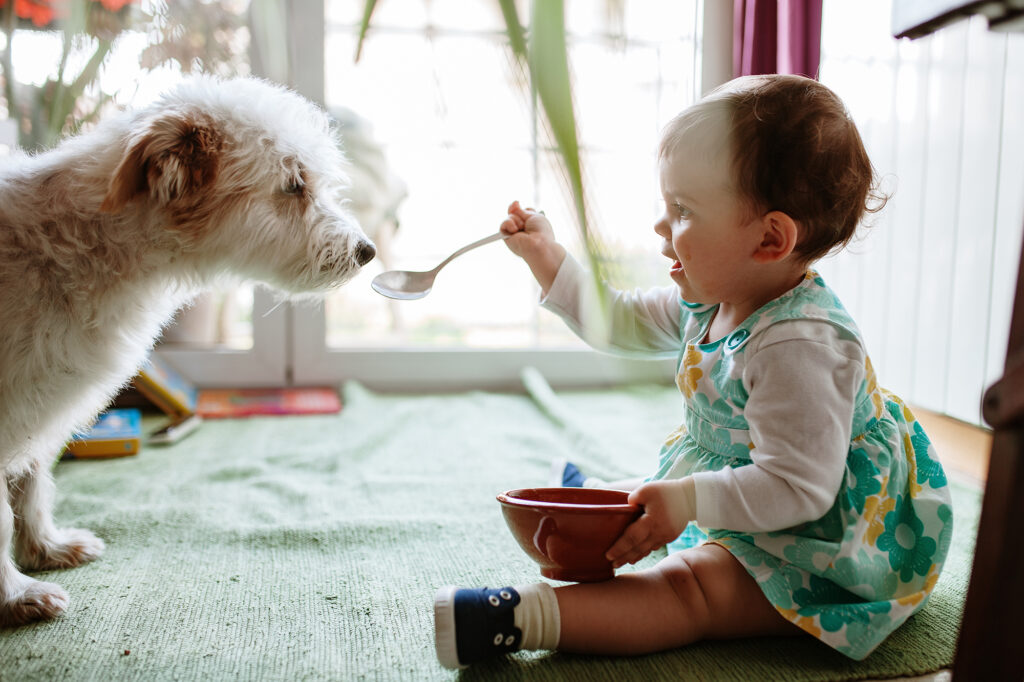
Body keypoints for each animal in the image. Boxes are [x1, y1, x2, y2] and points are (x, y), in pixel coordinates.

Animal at [0, 76, 376, 622]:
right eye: (293, 185)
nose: (367, 251)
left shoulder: (39, 411)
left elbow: (31, 489)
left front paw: (44, 549)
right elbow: (1, 518)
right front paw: (15, 594)